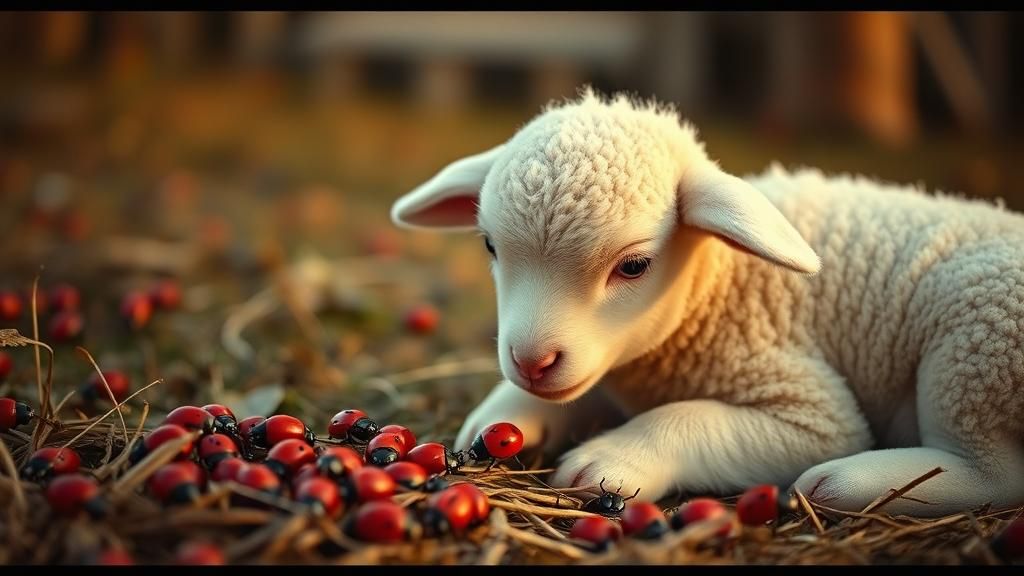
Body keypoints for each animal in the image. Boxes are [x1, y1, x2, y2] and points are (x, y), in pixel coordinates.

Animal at [389, 88, 1024, 517]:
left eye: (634, 266)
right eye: (490, 246)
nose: (531, 361)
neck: (716, 285)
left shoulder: (814, 410)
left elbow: (687, 418)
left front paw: (611, 460)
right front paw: (501, 416)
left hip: (978, 342)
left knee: (993, 472)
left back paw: (847, 483)